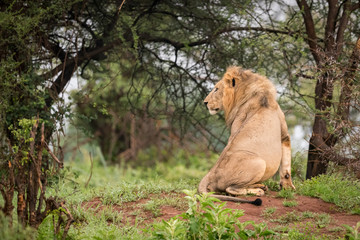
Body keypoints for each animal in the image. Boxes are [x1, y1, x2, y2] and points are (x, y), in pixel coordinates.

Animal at [200, 66, 296, 206]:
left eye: (216, 89)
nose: (205, 102)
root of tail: (211, 173)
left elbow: (286, 169)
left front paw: (288, 187)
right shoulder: (284, 135)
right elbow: (286, 166)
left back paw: (260, 186)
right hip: (260, 162)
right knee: (231, 189)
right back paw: (258, 190)